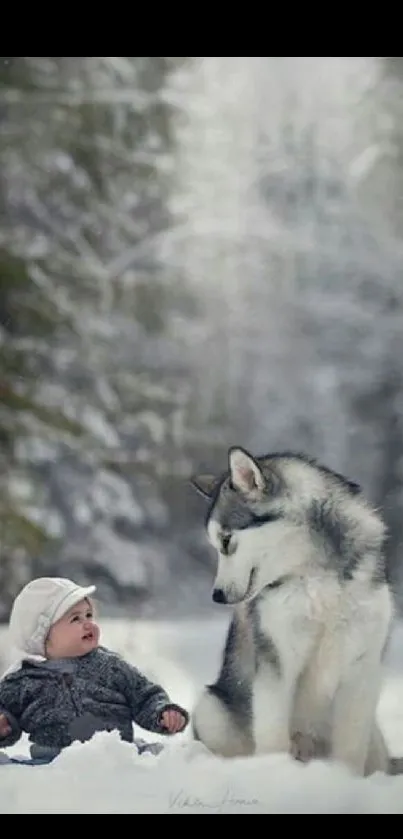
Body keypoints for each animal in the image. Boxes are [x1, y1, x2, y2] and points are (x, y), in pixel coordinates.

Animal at [190, 442, 398, 776]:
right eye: (216, 544)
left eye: (226, 540)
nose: (217, 595)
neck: (315, 573)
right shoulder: (278, 658)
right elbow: (273, 733)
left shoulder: (361, 665)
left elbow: (350, 748)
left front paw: (344, 779)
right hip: (211, 709)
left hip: (374, 741)